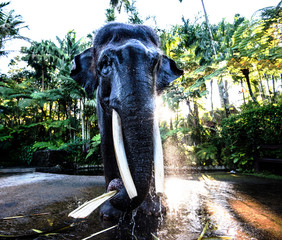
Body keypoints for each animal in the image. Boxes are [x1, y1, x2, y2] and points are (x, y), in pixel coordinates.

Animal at [70, 22, 183, 217]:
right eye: (105, 63)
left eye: (156, 63)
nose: (114, 187)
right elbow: (107, 140)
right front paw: (109, 214)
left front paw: (154, 211)